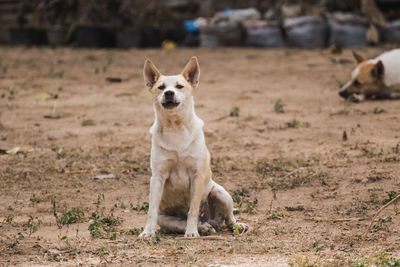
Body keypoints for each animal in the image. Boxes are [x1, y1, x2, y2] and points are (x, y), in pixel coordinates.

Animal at [139, 57, 248, 241]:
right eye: (161, 87)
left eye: (179, 86)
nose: (169, 93)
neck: (175, 127)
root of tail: (211, 220)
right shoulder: (157, 178)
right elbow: (151, 210)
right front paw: (148, 232)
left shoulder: (197, 175)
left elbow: (193, 210)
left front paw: (191, 232)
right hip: (166, 219)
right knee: (185, 223)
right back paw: (204, 228)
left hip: (221, 194)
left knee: (228, 218)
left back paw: (234, 226)